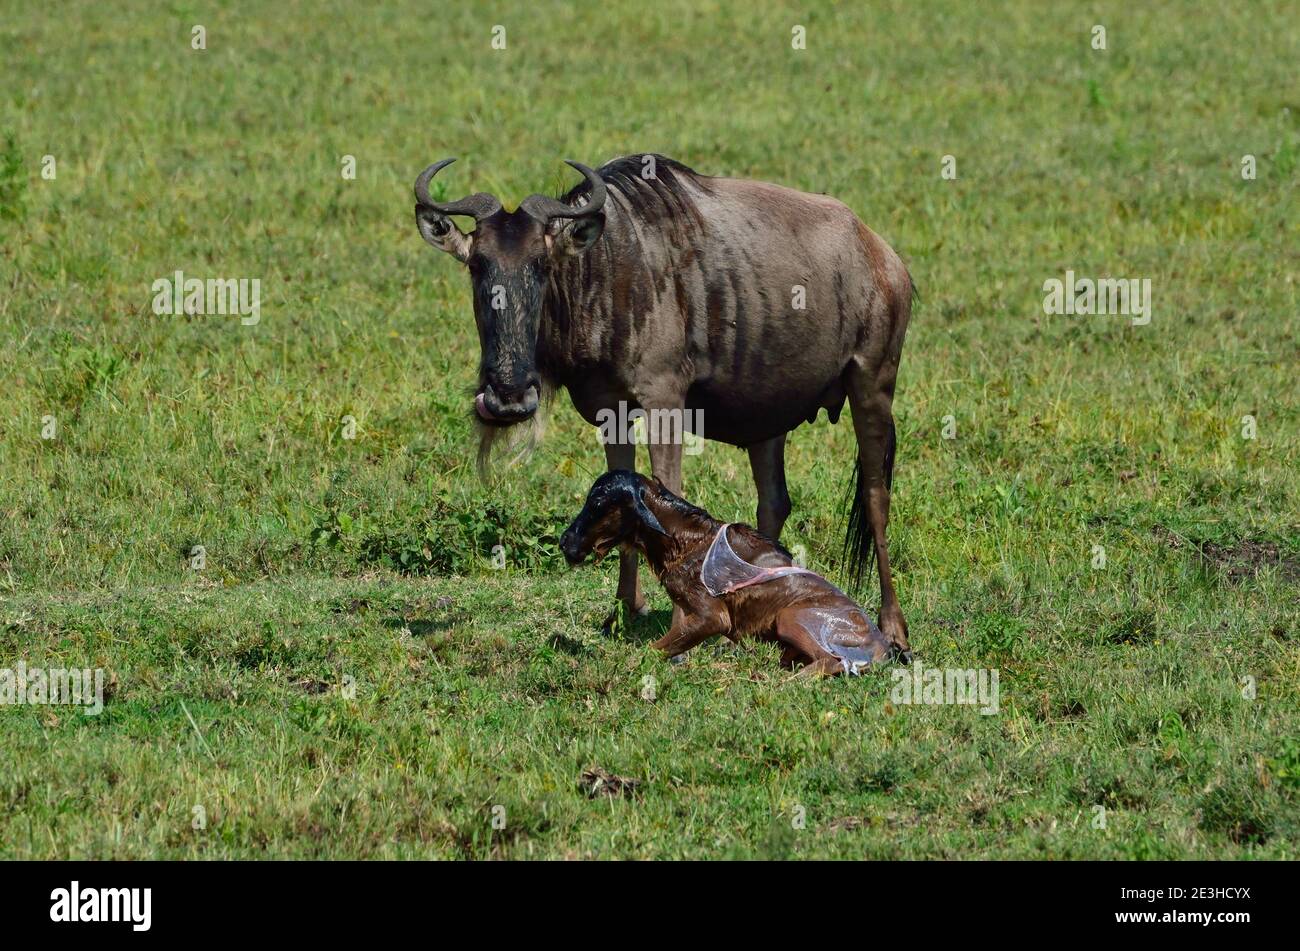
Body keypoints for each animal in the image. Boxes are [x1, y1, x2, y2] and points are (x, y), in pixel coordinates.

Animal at [561, 472, 915, 670]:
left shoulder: (712, 618)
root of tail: (884, 646)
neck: (684, 540)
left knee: (831, 661)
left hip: (791, 618)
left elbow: (653, 650)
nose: (566, 542)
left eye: (597, 503)